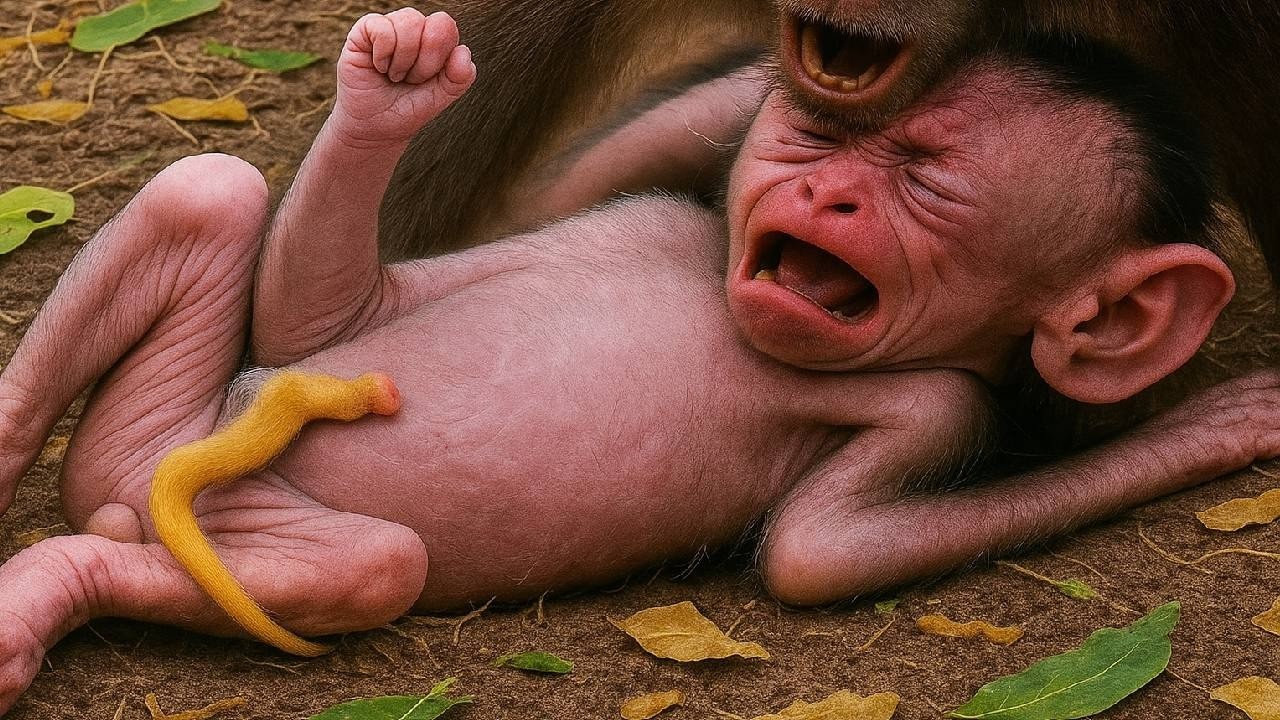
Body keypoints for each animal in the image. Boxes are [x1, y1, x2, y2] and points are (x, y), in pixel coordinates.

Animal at [0, 8, 1275, 711]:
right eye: (815, 140)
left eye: (926, 179)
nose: (827, 194)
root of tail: (153, 476)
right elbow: (320, 315)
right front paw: (398, 79)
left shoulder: (939, 408)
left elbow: (816, 555)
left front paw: (1214, 426)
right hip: (172, 424)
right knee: (207, 186)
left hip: (249, 523)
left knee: (362, 563)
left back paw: (52, 583)